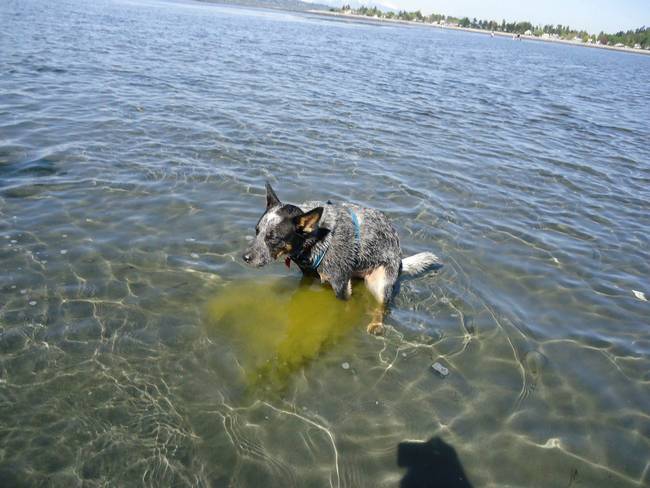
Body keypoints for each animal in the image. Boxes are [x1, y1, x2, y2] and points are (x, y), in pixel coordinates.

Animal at [243, 183, 440, 336]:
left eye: (273, 238)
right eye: (257, 231)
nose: (245, 257)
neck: (316, 238)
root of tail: (400, 262)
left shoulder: (341, 285)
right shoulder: (307, 275)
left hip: (379, 281)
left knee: (383, 306)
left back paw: (376, 323)